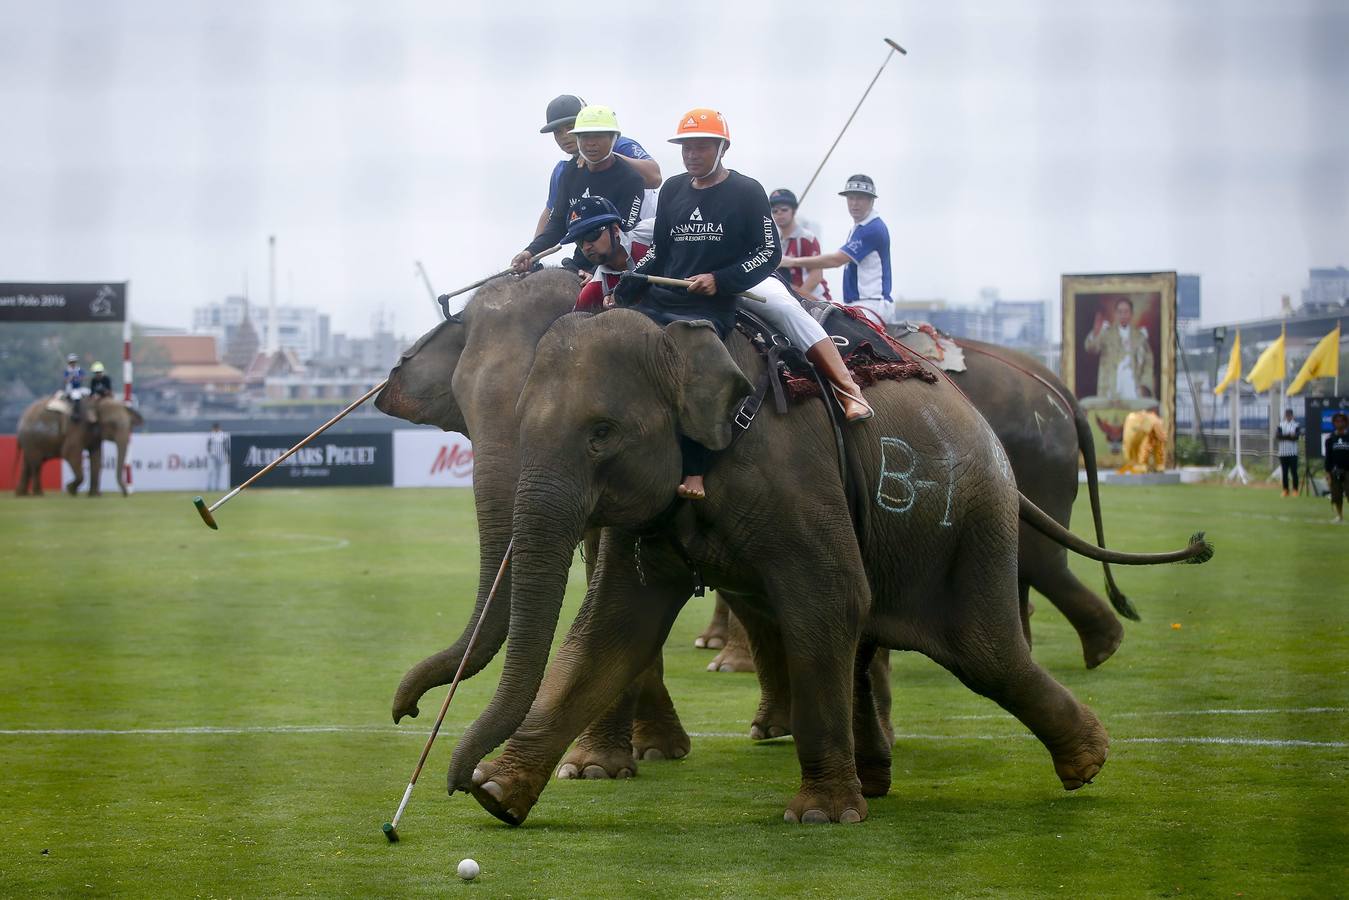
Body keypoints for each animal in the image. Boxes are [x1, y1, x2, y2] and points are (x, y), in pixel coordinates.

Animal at [15, 395, 143, 497]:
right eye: (112, 424)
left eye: (130, 425)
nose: (126, 494)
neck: (97, 402)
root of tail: (22, 418)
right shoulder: (76, 428)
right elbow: (70, 453)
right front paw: (70, 489)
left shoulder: (94, 436)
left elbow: (97, 459)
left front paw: (94, 495)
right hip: (31, 439)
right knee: (36, 465)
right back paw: (38, 493)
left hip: (30, 441)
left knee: (27, 464)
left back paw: (22, 494)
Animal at [700, 334, 1136, 674]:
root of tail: (1063, 395)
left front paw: (728, 661)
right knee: (1034, 564)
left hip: (1034, 463)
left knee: (1039, 559)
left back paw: (1100, 648)